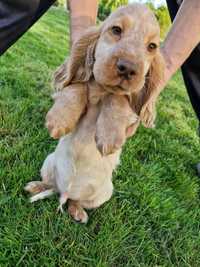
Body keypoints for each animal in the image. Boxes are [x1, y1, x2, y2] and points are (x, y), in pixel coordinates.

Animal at [24, 3, 164, 224]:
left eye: (152, 46)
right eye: (116, 30)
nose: (128, 69)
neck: (101, 93)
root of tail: (65, 192)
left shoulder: (126, 105)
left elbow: (118, 98)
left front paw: (109, 138)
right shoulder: (78, 87)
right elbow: (77, 87)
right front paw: (58, 120)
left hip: (104, 193)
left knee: (75, 201)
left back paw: (78, 212)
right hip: (49, 163)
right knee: (51, 185)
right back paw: (36, 186)